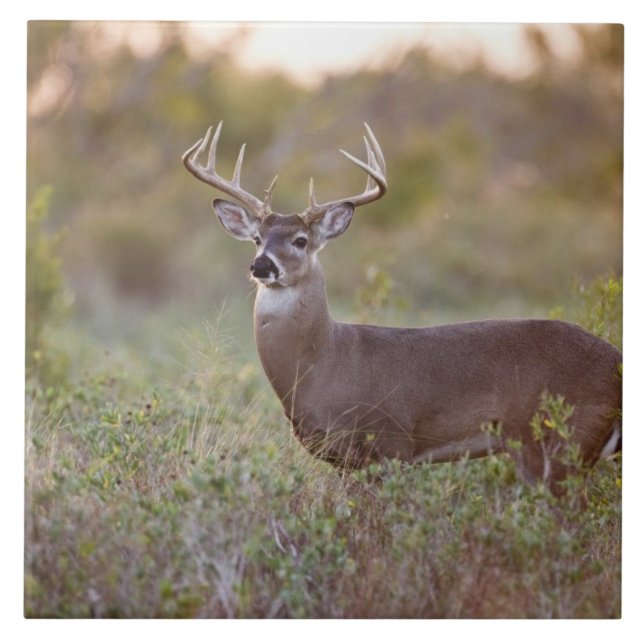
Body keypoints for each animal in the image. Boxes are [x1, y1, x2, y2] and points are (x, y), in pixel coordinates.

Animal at [182, 122, 622, 494]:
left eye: (300, 240)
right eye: (257, 239)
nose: (261, 266)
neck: (324, 363)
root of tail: (616, 365)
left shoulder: (392, 443)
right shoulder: (346, 461)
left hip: (557, 442)